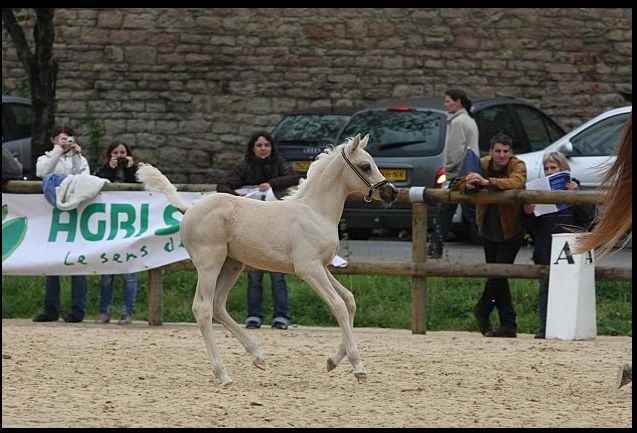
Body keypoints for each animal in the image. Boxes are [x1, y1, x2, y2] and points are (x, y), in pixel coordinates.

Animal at [138, 133, 398, 384]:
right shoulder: (309, 269)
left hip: (232, 264)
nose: (392, 193)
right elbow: (338, 306)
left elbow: (349, 300)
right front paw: (358, 367)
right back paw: (223, 375)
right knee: (203, 308)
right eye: (365, 166)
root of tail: (189, 209)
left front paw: (332, 361)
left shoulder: (322, 267)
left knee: (218, 305)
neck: (315, 212)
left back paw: (257, 356)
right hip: (209, 263)